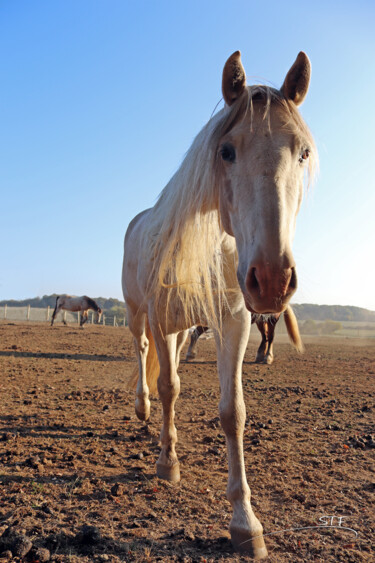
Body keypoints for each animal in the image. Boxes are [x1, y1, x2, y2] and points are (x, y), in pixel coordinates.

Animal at [122, 51, 318, 560]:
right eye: (226, 151)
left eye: (303, 152)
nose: (272, 277)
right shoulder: (162, 321)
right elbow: (169, 386)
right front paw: (167, 463)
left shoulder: (235, 322)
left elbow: (233, 413)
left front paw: (245, 521)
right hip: (138, 315)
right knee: (143, 355)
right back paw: (143, 411)